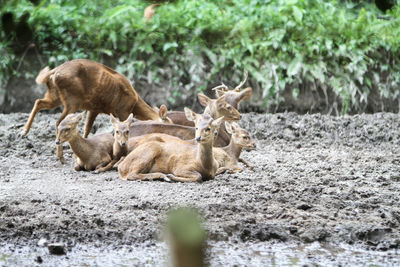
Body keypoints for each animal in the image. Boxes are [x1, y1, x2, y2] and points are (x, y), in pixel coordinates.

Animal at [20, 59, 160, 163]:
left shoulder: (94, 108)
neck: (134, 103)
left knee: (39, 102)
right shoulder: (123, 110)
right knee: (58, 121)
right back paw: (60, 156)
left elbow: (87, 128)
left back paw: (24, 131)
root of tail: (55, 71)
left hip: (55, 95)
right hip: (72, 100)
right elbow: (124, 127)